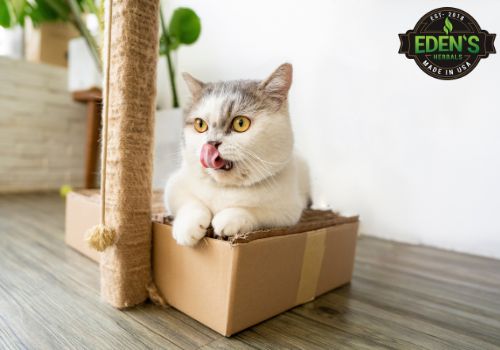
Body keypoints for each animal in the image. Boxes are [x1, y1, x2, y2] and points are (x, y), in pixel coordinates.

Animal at [164, 65, 308, 246]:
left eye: (241, 123)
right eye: (200, 125)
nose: (211, 143)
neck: (226, 188)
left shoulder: (289, 210)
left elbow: (256, 212)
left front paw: (228, 219)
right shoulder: (173, 186)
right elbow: (189, 203)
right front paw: (187, 229)